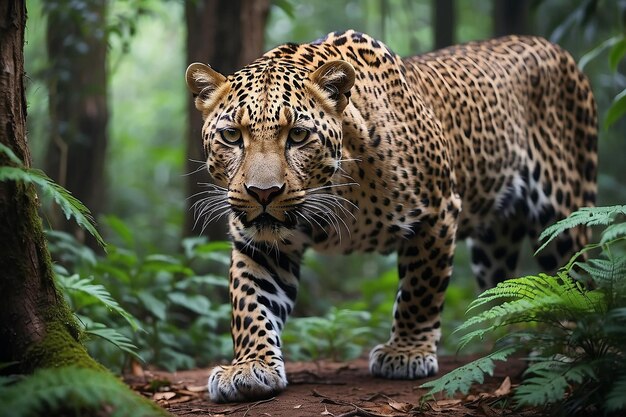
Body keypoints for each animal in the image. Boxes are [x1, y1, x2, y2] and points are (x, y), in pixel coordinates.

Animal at [183, 30, 592, 402]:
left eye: (298, 135)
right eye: (232, 136)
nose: (263, 193)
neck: (336, 190)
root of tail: (551, 45)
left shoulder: (437, 212)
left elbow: (420, 289)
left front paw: (406, 353)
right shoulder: (260, 243)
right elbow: (251, 303)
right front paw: (251, 366)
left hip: (564, 213)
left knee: (575, 277)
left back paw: (565, 347)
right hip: (493, 244)